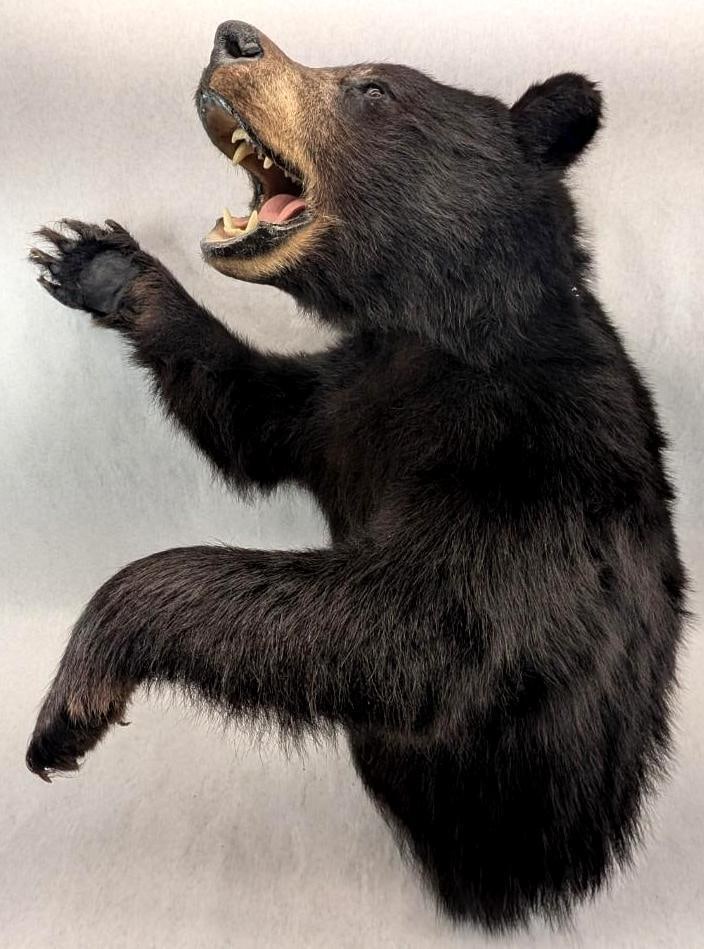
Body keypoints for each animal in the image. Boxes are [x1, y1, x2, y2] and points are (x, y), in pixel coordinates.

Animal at [26, 20, 685, 932]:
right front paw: (102, 263)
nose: (233, 38)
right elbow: (256, 417)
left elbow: (432, 623)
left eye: (371, 87)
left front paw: (77, 692)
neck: (435, 331)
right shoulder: (343, 400)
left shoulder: (540, 453)